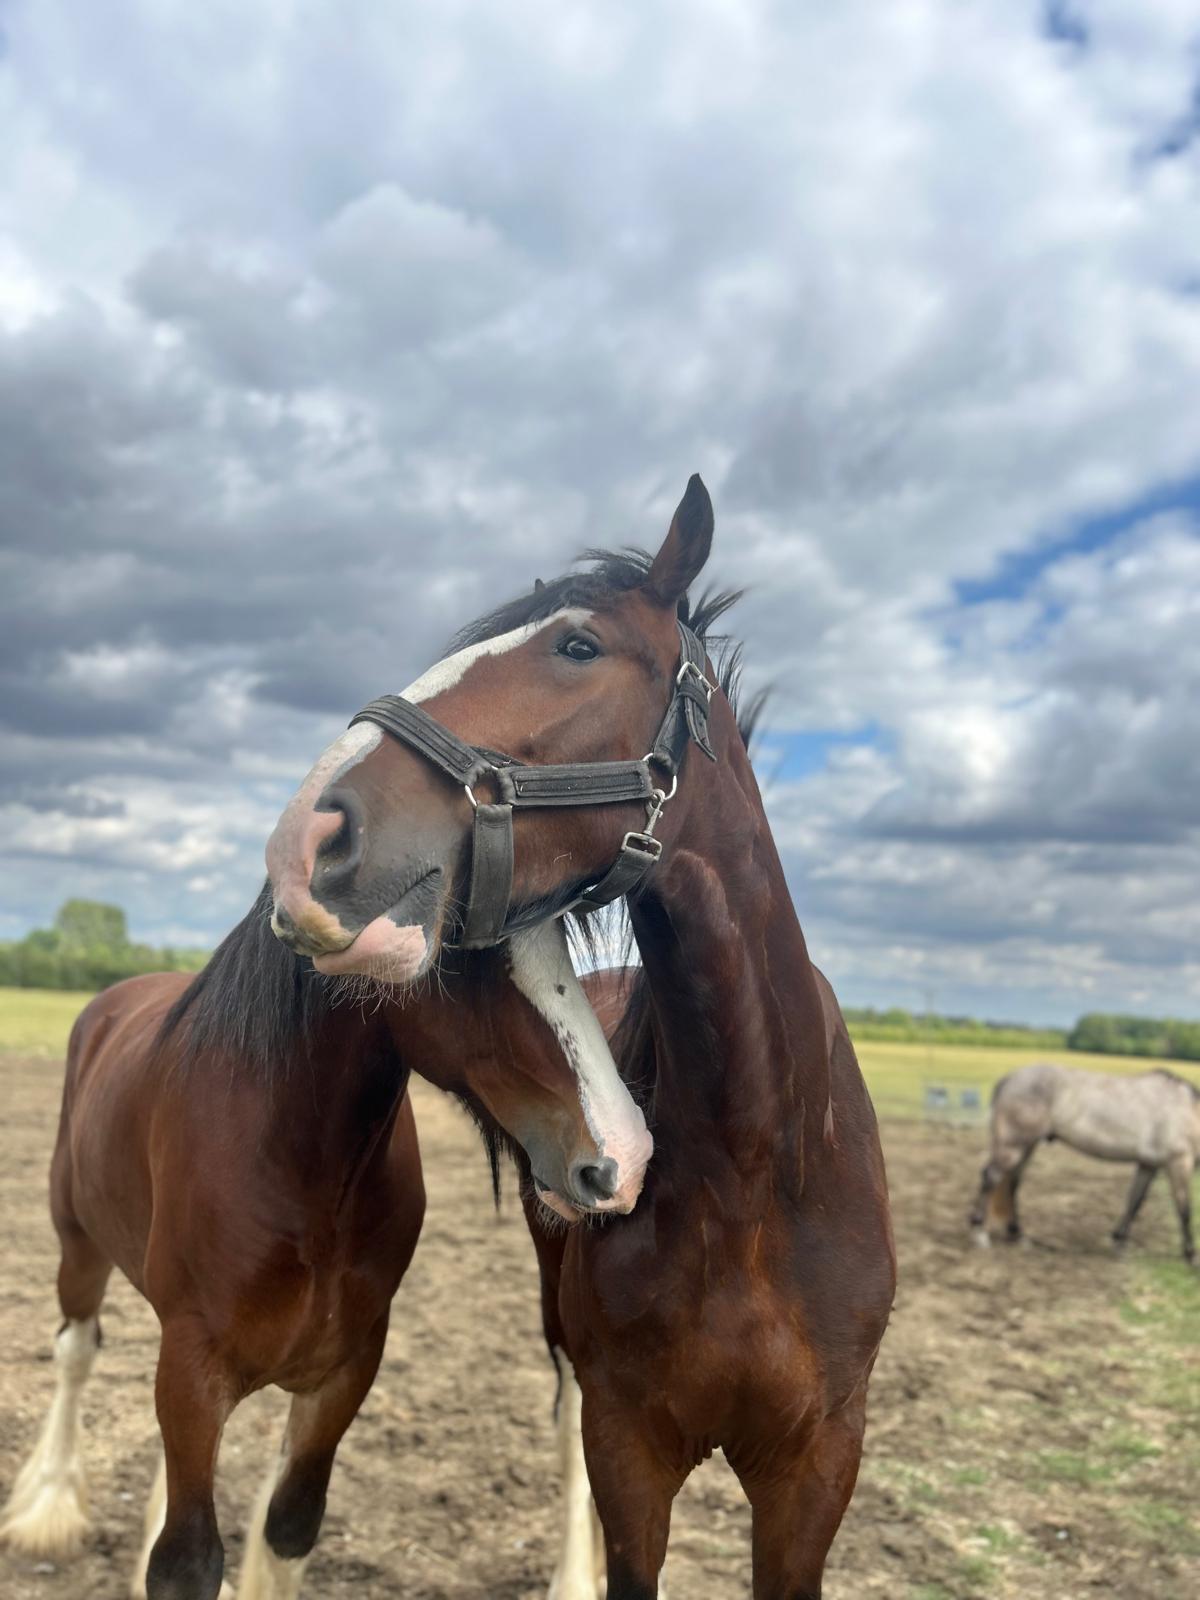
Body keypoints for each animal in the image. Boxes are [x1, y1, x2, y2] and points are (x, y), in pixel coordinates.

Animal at [0, 897, 651, 1600]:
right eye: (460, 945)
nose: (620, 1159)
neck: (300, 1170)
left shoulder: (340, 1374)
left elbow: (288, 1529)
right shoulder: (195, 1371)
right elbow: (185, 1563)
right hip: (78, 1245)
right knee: (75, 1353)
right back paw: (48, 1511)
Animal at [969, 1061, 1200, 1261]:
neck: (1187, 1111)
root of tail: (1010, 1078)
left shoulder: (1148, 1164)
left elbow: (1134, 1203)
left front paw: (1119, 1241)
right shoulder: (1179, 1163)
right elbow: (1185, 1209)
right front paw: (1191, 1255)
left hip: (1027, 1146)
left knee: (1013, 1183)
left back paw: (1018, 1236)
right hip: (1013, 1145)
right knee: (991, 1177)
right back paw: (980, 1232)